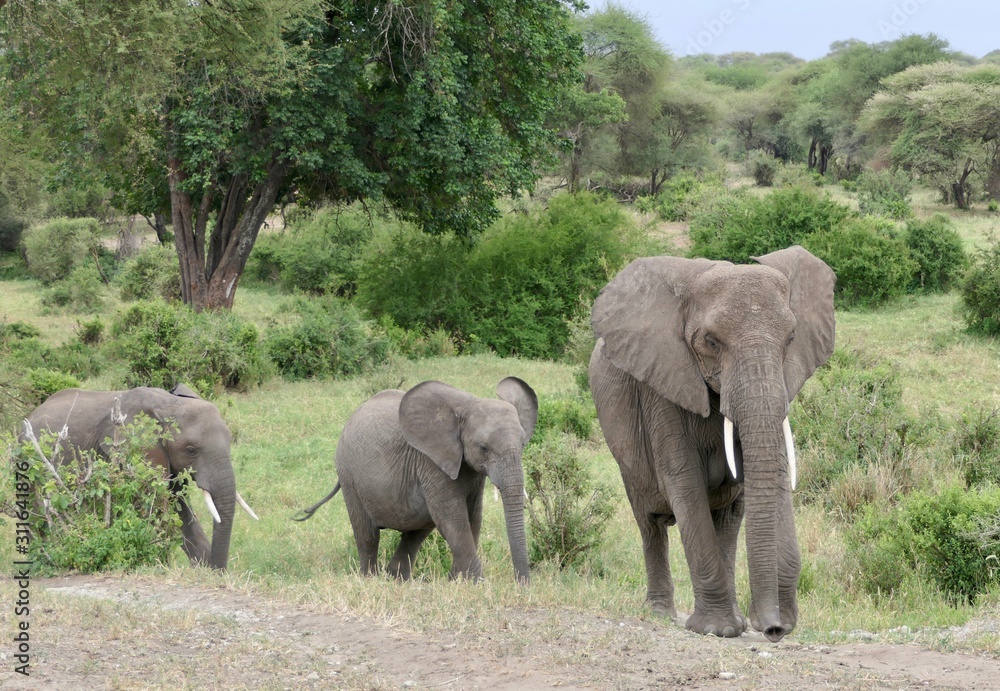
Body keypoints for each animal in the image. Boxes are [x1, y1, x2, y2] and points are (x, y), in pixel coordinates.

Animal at [21, 385, 258, 570]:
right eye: (191, 450)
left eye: (230, 441)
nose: (219, 570)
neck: (170, 404)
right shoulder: (132, 453)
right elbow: (158, 507)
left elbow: (179, 509)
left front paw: (205, 570)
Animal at [294, 377, 537, 584]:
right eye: (483, 448)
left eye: (522, 444)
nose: (522, 585)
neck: (466, 406)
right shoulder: (431, 461)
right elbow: (454, 519)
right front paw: (475, 584)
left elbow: (473, 518)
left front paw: (456, 582)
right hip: (349, 473)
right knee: (367, 533)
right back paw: (370, 579)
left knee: (417, 529)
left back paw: (397, 579)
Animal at [589, 246, 835, 642]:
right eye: (710, 341)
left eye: (791, 339)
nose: (774, 628)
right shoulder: (663, 385)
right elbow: (685, 482)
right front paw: (715, 630)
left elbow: (764, 476)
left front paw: (747, 625)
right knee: (650, 524)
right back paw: (661, 613)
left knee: (727, 521)